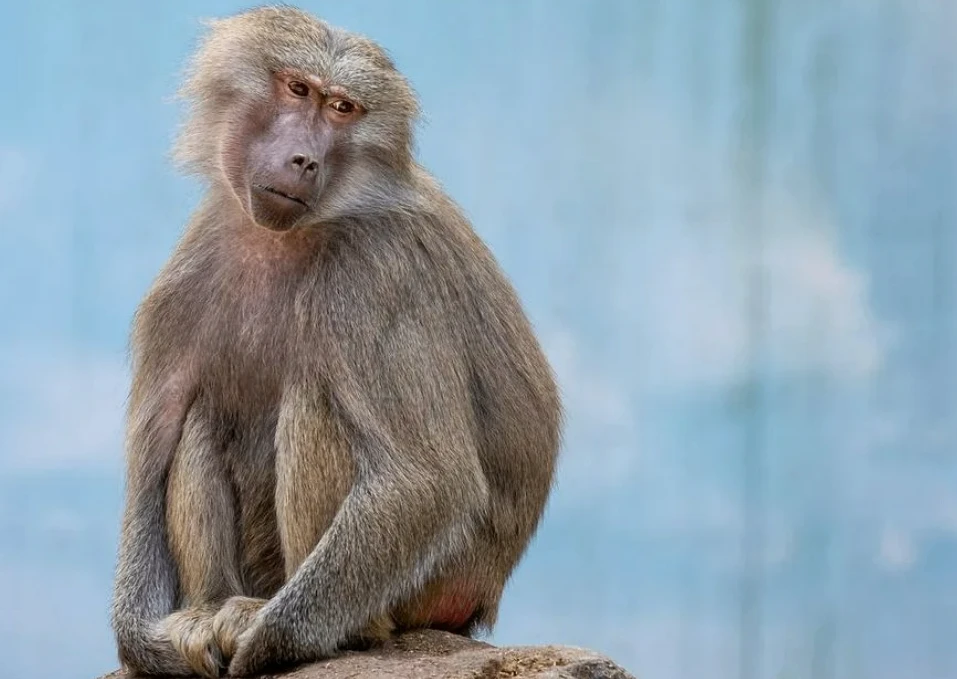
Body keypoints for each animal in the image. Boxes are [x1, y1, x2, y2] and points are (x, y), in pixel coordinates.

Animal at [109, 6, 562, 678]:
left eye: (343, 108)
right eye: (298, 90)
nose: (303, 160)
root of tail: (485, 598)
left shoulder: (376, 277)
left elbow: (424, 477)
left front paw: (265, 643)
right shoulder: (189, 275)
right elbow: (152, 458)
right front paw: (149, 644)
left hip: (434, 585)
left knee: (315, 399)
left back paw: (332, 629)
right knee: (202, 415)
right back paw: (210, 607)